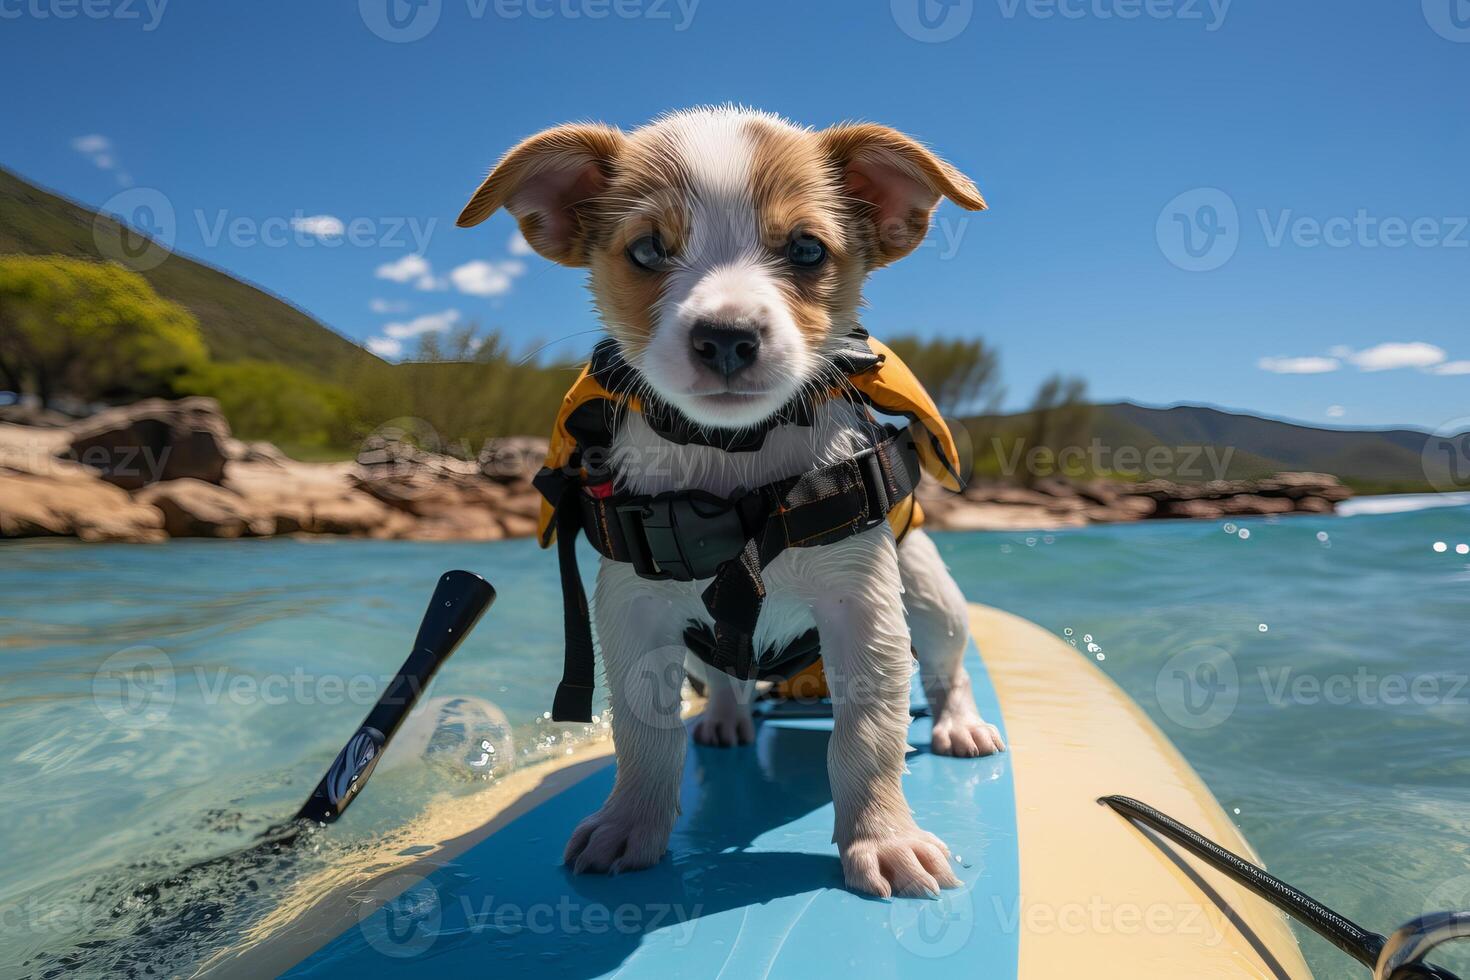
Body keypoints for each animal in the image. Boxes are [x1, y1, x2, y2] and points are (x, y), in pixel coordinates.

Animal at [458, 105, 1005, 899]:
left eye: (807, 250)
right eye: (647, 249)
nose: (725, 337)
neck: (734, 455)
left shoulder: (863, 607)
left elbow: (867, 735)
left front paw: (883, 838)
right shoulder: (632, 611)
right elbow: (644, 735)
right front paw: (632, 823)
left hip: (930, 591)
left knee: (946, 663)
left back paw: (960, 725)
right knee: (724, 676)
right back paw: (723, 717)